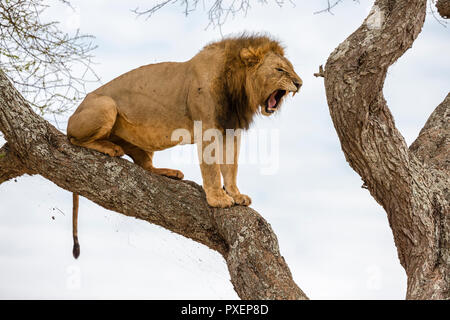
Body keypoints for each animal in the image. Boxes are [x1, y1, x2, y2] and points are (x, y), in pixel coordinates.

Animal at [66, 34, 302, 258]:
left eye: (291, 68)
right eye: (280, 69)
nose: (299, 84)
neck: (239, 87)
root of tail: (74, 113)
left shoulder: (231, 129)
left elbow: (231, 166)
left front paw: (236, 194)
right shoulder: (206, 126)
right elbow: (212, 169)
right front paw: (218, 199)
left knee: (146, 165)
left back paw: (168, 172)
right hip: (105, 105)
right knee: (74, 140)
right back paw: (110, 148)